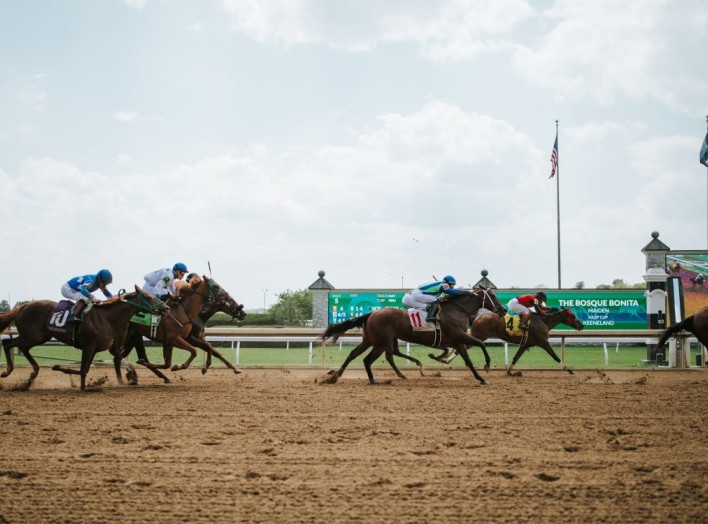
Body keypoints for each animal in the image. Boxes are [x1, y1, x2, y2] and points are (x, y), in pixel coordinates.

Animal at [0, 286, 167, 392]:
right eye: (147, 296)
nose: (165, 307)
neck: (107, 318)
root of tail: (23, 306)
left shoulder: (94, 348)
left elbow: (84, 369)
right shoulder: (88, 346)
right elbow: (83, 370)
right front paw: (82, 387)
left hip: (39, 337)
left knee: (21, 347)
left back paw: (32, 374)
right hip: (32, 336)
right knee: (7, 343)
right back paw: (7, 371)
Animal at [318, 286, 506, 384]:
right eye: (493, 295)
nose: (503, 310)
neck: (457, 310)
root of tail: (372, 313)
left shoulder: (455, 341)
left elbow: (465, 359)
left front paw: (480, 378)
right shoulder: (459, 336)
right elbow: (480, 344)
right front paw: (487, 367)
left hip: (371, 340)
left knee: (354, 354)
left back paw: (336, 375)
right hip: (380, 342)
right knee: (368, 359)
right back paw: (373, 380)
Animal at [428, 308, 584, 376]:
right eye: (572, 315)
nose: (581, 324)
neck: (543, 321)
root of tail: (477, 316)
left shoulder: (525, 344)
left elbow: (516, 357)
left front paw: (510, 371)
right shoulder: (543, 342)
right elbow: (555, 356)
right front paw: (569, 370)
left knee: (460, 346)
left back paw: (442, 358)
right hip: (479, 335)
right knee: (462, 347)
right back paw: (444, 359)